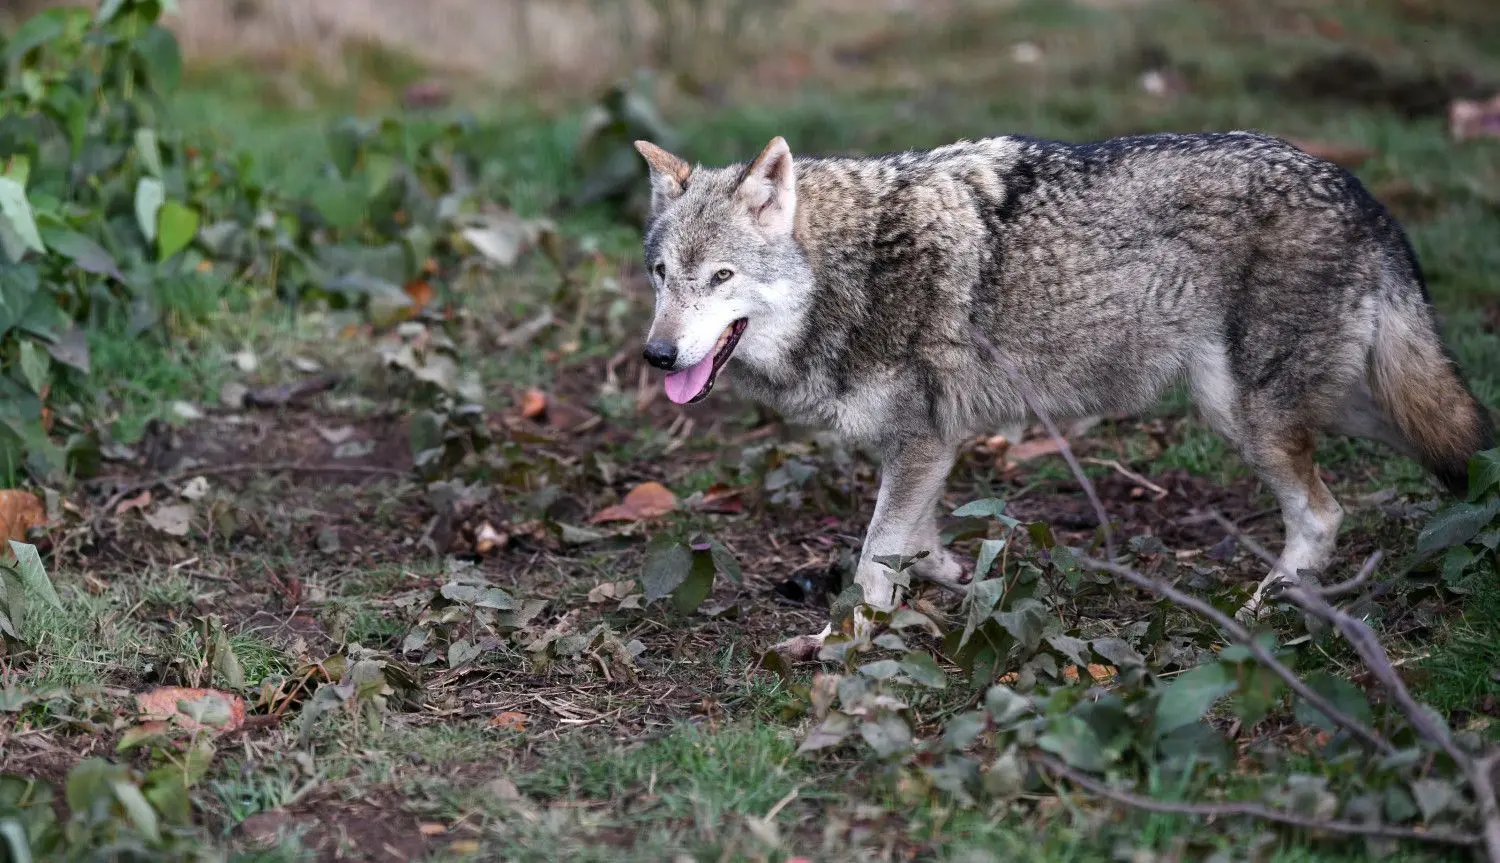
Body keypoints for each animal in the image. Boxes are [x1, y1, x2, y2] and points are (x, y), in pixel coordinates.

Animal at [631, 131, 1494, 657]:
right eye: (662, 275)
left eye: (722, 277)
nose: (657, 353)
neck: (856, 269)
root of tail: (1356, 187)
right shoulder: (926, 448)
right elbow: (917, 540)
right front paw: (952, 581)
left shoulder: (922, 440)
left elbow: (874, 555)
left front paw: (841, 645)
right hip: (1321, 402)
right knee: (1460, 439)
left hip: (1247, 413)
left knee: (1323, 512)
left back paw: (1269, 606)